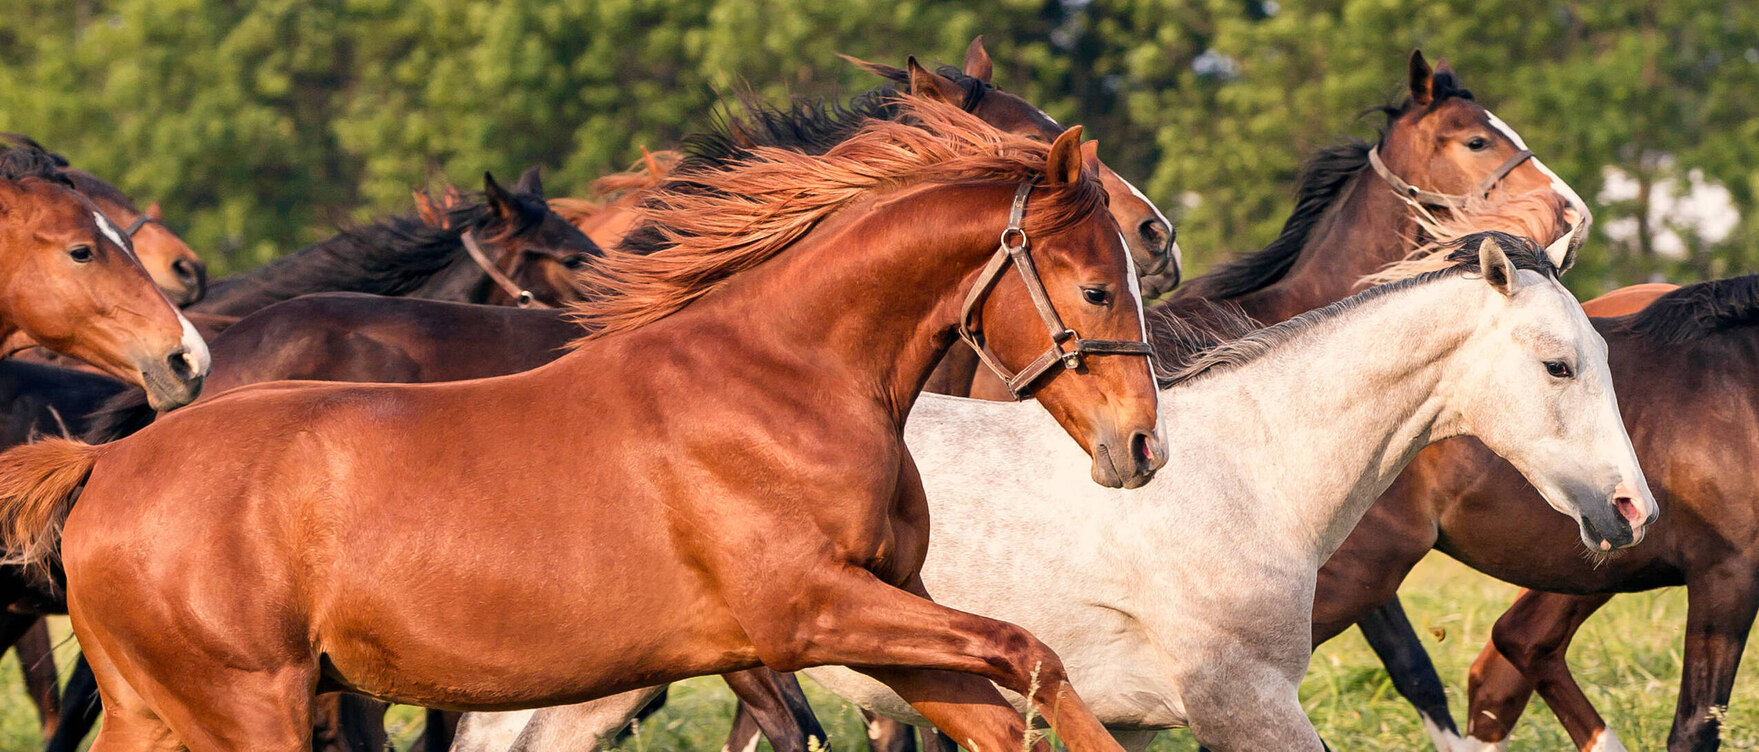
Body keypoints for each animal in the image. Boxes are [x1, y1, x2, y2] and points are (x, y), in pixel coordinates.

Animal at [0, 97, 1167, 752]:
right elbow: (1028, 651)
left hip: (159, 709)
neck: (786, 382)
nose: (1142, 447)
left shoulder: (889, 608)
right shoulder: (812, 613)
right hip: (248, 708)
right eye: (1098, 287)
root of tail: (101, 468)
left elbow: (1010, 695)